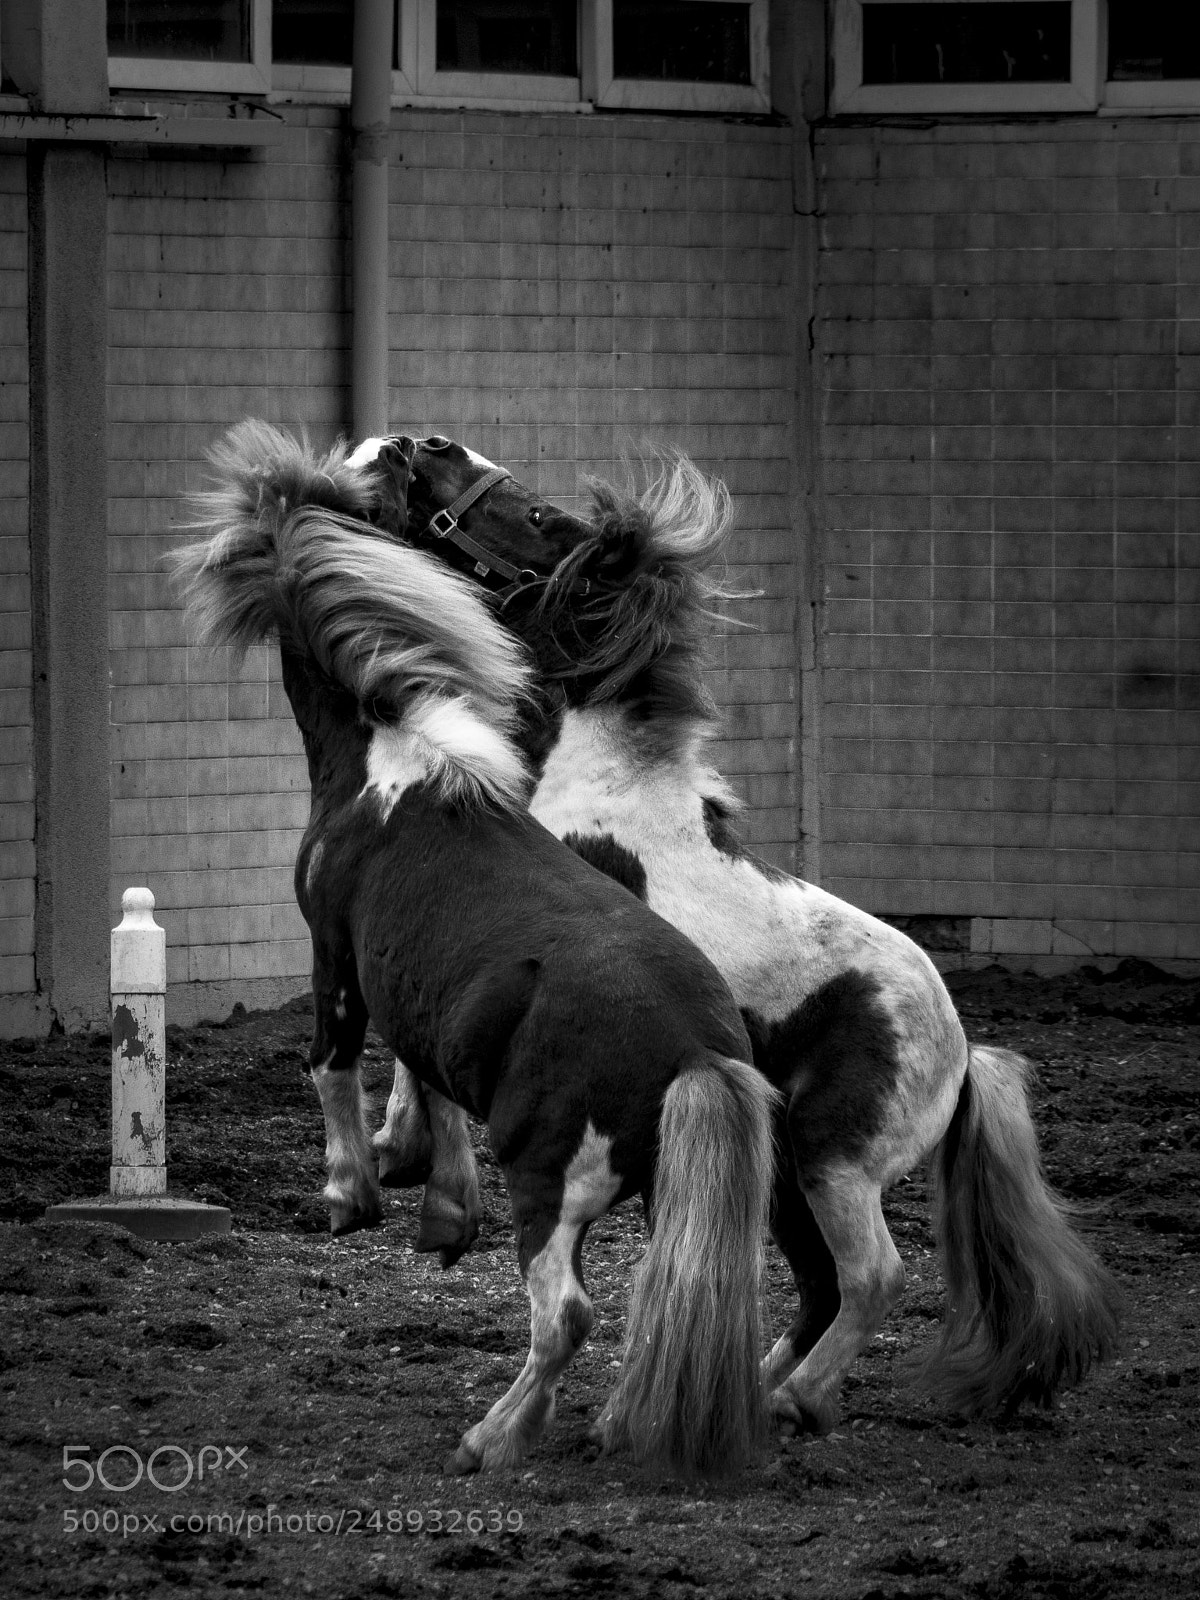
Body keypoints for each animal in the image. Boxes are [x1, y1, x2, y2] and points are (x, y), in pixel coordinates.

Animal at [172, 421, 777, 1479]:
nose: (418, 440)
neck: (396, 758)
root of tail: (698, 1054)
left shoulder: (335, 958)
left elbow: (331, 1065)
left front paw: (352, 1192)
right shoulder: (423, 990)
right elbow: (428, 1075)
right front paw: (443, 1210)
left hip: (551, 1183)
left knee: (566, 1316)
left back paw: (493, 1438)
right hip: (672, 1201)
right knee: (668, 1295)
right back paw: (614, 1422)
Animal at [349, 430, 1122, 1434]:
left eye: (540, 516)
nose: (421, 444)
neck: (601, 787)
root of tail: (961, 1062)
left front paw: (416, 1174)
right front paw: (401, 1158)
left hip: (833, 1167)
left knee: (873, 1279)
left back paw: (795, 1401)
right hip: (785, 1170)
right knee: (819, 1289)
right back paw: (742, 1394)